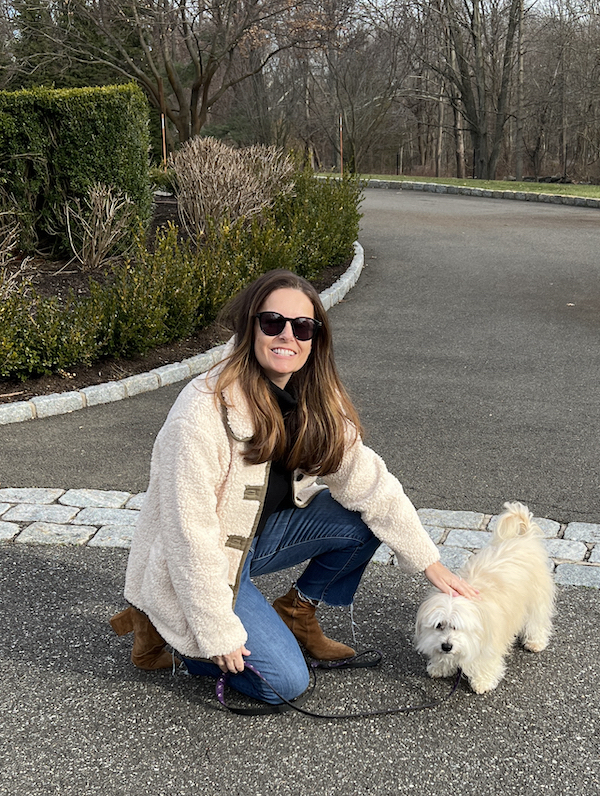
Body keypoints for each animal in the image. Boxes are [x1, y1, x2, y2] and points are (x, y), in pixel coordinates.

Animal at [414, 500, 556, 692]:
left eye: (457, 627)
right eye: (439, 625)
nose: (447, 646)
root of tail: (523, 538)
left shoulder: (490, 643)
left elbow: (486, 662)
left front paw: (483, 681)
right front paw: (440, 666)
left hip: (537, 598)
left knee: (537, 621)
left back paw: (535, 642)